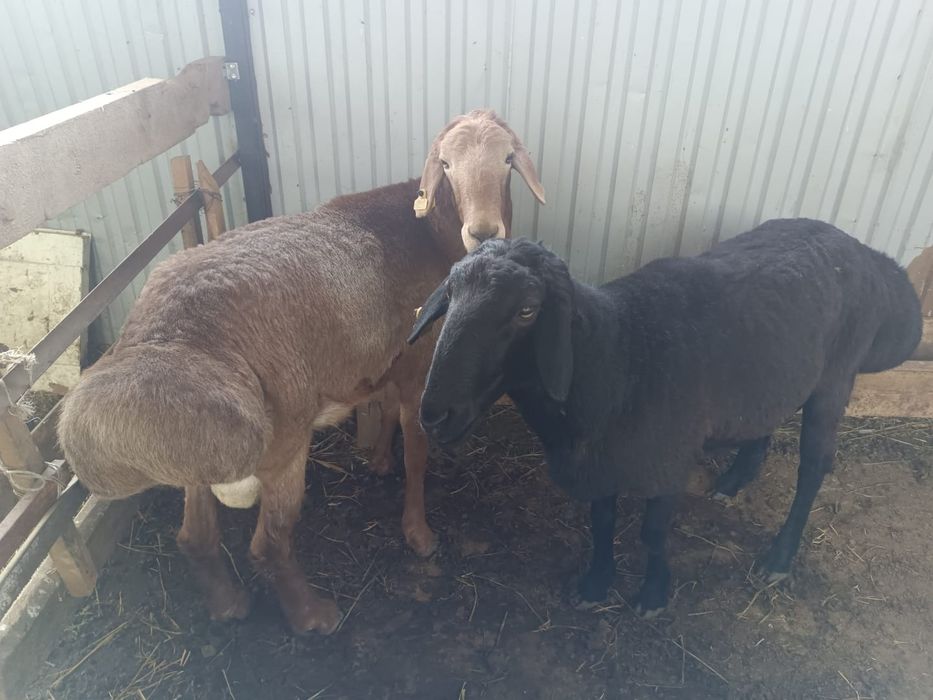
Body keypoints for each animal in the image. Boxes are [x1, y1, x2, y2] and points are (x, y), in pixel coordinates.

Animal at [57, 109, 545, 634]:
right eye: (447, 165)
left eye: (508, 159)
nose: (485, 232)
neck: (433, 233)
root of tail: (159, 334)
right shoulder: (420, 364)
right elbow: (417, 453)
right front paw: (418, 532)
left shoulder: (386, 357)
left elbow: (384, 408)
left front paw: (378, 459)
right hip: (282, 441)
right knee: (268, 544)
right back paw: (313, 616)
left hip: (193, 452)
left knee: (195, 535)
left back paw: (228, 603)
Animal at [408, 219, 921, 616]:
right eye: (449, 295)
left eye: (527, 310)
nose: (434, 414)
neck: (616, 356)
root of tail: (866, 252)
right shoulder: (602, 464)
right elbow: (602, 523)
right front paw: (596, 585)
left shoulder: (670, 463)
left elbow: (652, 535)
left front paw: (653, 595)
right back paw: (735, 478)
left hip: (835, 379)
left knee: (813, 468)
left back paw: (778, 558)